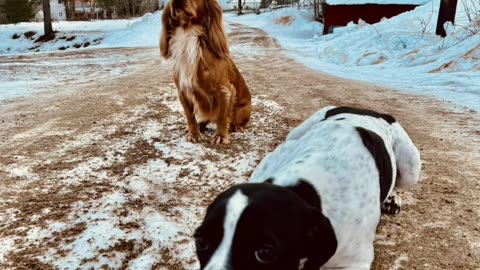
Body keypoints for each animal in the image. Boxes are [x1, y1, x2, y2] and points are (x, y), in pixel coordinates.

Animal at [160, 0, 251, 144]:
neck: (188, 34)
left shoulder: (224, 90)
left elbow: (222, 117)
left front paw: (220, 136)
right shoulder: (182, 91)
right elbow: (190, 116)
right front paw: (194, 133)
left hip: (242, 109)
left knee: (237, 120)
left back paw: (237, 126)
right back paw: (201, 125)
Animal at [194, 106, 420, 270]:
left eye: (265, 253)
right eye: (200, 241)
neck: (306, 188)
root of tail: (373, 111)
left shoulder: (354, 263)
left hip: (411, 167)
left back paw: (391, 198)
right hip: (294, 134)